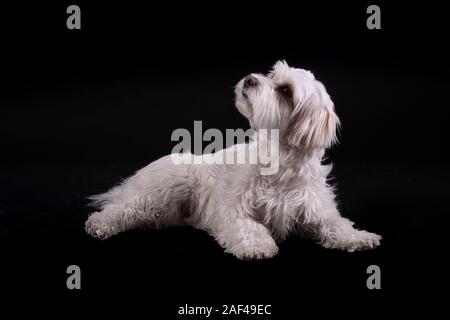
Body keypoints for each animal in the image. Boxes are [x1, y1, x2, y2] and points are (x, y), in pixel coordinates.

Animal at [84, 60, 380, 260]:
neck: (278, 158)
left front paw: (359, 237)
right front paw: (258, 245)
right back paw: (99, 224)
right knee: (122, 210)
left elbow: (337, 223)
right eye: (271, 75)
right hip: (161, 192)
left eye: (285, 91)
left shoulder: (316, 208)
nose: (250, 78)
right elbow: (249, 226)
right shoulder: (231, 210)